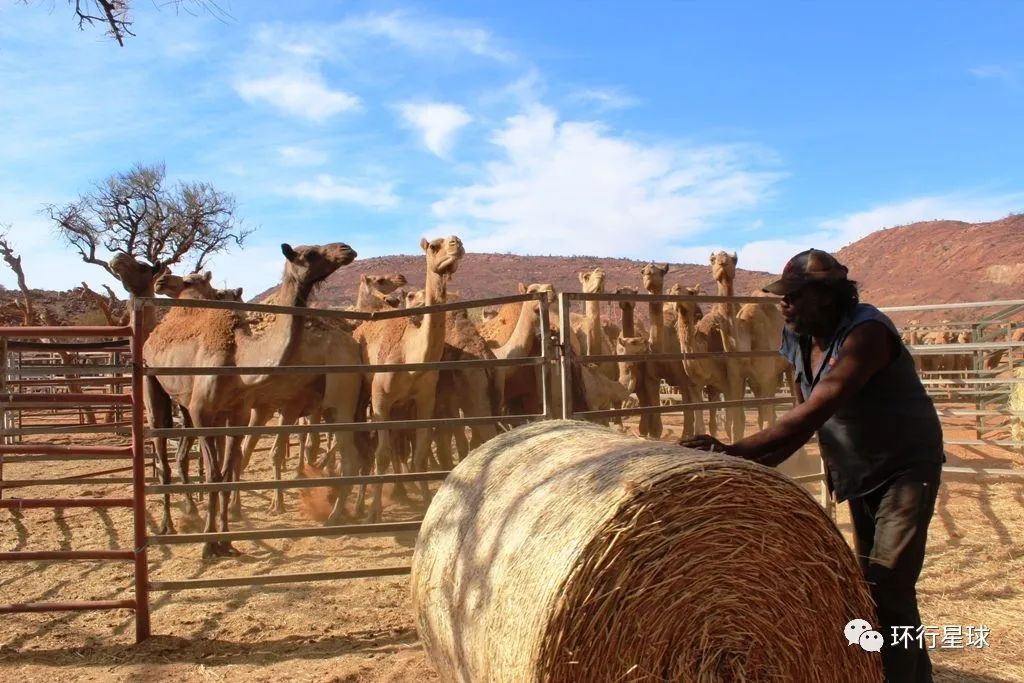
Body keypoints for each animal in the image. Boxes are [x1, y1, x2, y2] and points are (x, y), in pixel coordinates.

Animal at [113, 241, 356, 557]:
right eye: (310, 253)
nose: (346, 248)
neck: (239, 358)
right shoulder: (204, 413)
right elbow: (215, 475)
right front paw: (210, 543)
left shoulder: (237, 413)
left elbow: (227, 471)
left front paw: (224, 540)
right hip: (152, 384)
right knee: (163, 453)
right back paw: (168, 526)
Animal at [350, 235, 466, 524]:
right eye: (434, 246)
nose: (456, 243)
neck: (410, 358)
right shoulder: (380, 400)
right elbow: (381, 455)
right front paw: (373, 514)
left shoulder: (424, 401)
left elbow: (420, 455)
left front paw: (426, 505)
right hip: (364, 395)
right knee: (367, 446)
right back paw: (358, 505)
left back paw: (400, 491)